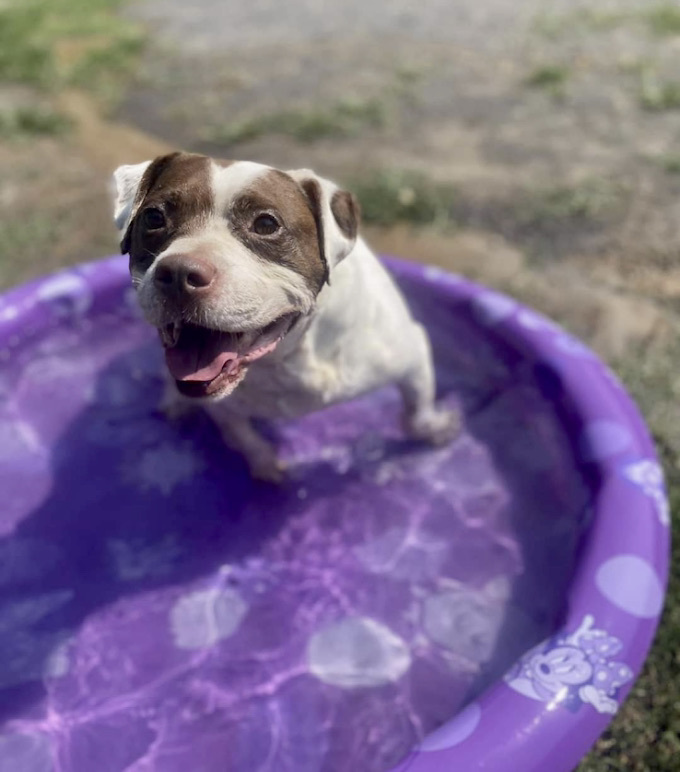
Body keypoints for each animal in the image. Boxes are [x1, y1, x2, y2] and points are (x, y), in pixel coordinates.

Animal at [111, 152, 460, 480]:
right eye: (153, 216)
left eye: (266, 224)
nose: (179, 273)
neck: (286, 357)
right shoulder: (222, 406)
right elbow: (242, 435)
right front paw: (265, 463)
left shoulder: (411, 354)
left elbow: (417, 413)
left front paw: (435, 430)